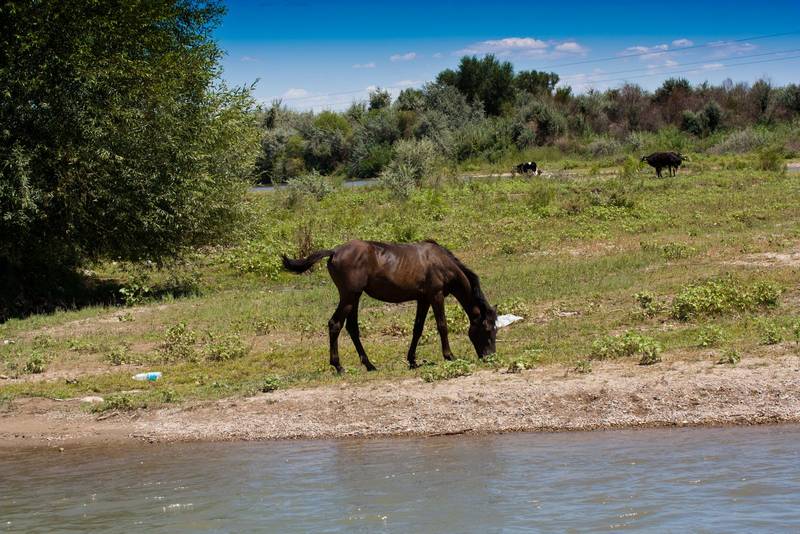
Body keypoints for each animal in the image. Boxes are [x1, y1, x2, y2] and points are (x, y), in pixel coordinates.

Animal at [281, 239, 497, 373]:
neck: (440, 261)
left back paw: (369, 365)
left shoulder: (423, 299)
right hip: (349, 297)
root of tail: (334, 252)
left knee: (352, 328)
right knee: (335, 324)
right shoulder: (435, 296)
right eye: (487, 330)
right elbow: (442, 326)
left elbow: (417, 329)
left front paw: (412, 360)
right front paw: (449, 355)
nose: (490, 357)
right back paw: (339, 366)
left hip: (354, 297)